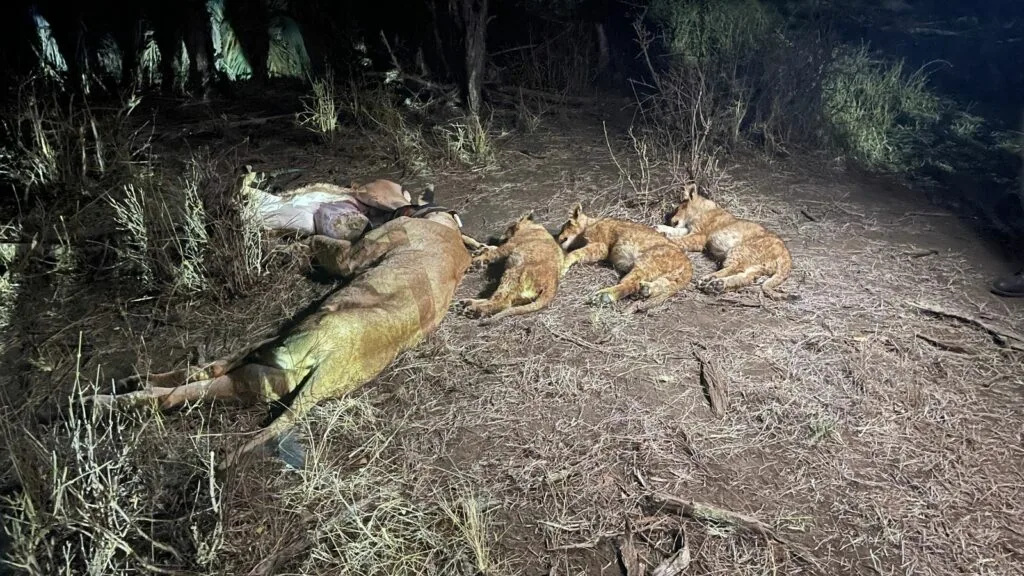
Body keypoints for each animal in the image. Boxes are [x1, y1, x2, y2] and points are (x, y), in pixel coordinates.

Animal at [89, 206, 471, 471]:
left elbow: (324, 245)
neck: (451, 235)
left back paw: (118, 392)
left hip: (273, 347)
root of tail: (336, 359)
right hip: (263, 379)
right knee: (183, 393)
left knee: (197, 376)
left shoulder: (356, 254)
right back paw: (114, 397)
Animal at [556, 203, 693, 310]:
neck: (590, 223)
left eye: (564, 227)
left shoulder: (601, 247)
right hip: (669, 278)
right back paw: (646, 290)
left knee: (631, 284)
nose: (557, 238)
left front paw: (562, 266)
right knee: (660, 285)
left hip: (646, 262)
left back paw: (604, 296)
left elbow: (573, 253)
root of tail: (688, 266)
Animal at [656, 183, 792, 298]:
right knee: (745, 277)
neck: (704, 208)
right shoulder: (691, 231)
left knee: (735, 268)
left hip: (741, 249)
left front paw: (664, 236)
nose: (670, 220)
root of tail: (786, 255)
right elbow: (677, 231)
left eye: (677, 208)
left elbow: (679, 239)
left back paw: (709, 279)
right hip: (756, 266)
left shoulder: (699, 237)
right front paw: (659, 228)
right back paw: (716, 285)